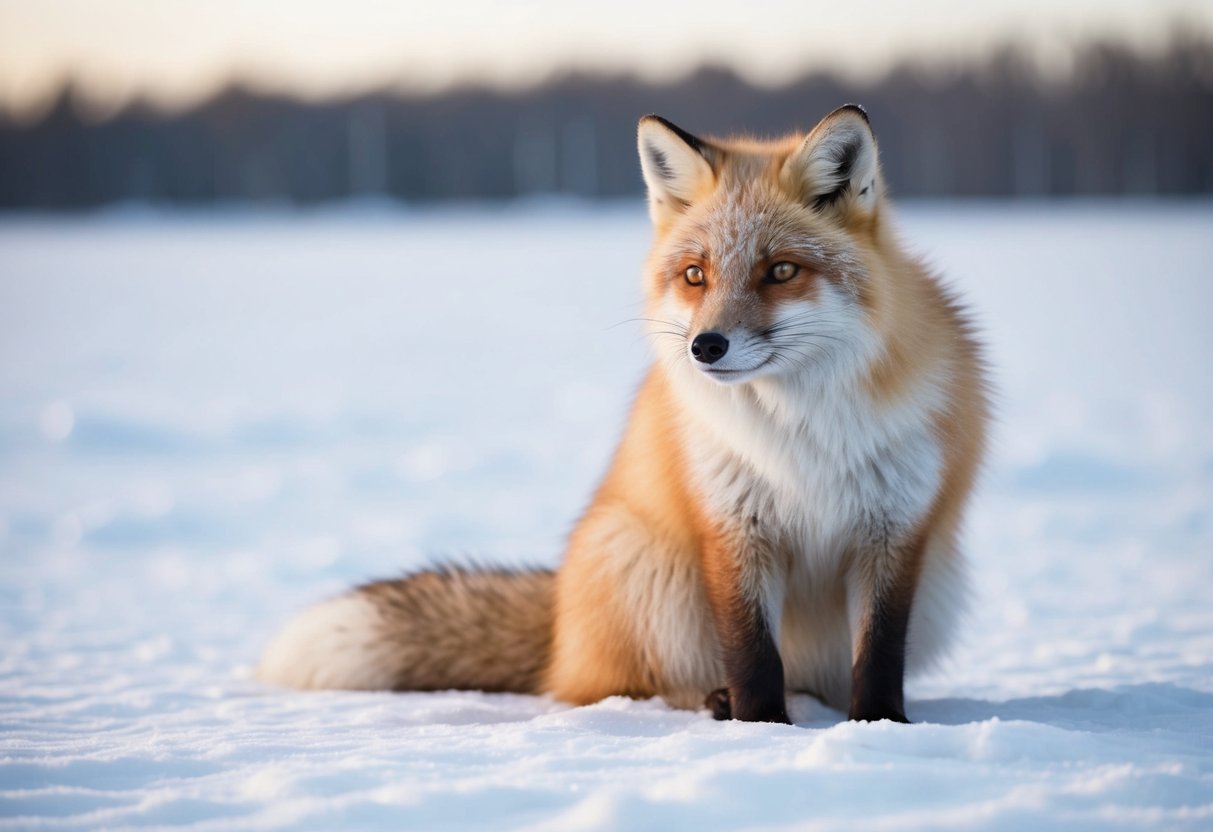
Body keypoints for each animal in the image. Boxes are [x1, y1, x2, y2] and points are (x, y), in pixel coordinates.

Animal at [258, 104, 989, 724]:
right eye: (695, 275)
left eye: (781, 271)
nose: (705, 346)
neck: (800, 428)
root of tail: (559, 625)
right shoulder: (732, 526)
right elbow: (752, 654)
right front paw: (761, 729)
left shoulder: (893, 531)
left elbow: (880, 655)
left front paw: (879, 729)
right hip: (645, 565)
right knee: (617, 686)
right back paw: (709, 702)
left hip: (940, 582)